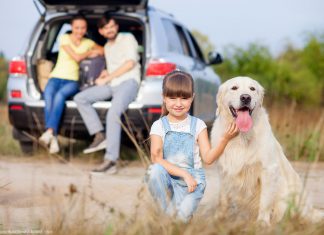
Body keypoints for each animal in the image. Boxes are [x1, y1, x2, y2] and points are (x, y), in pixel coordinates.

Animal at [210, 76, 322, 225]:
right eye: (234, 88)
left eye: (252, 89)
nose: (246, 97)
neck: (241, 136)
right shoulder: (224, 170)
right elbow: (222, 199)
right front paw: (218, 219)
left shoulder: (269, 169)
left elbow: (265, 201)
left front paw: (262, 223)